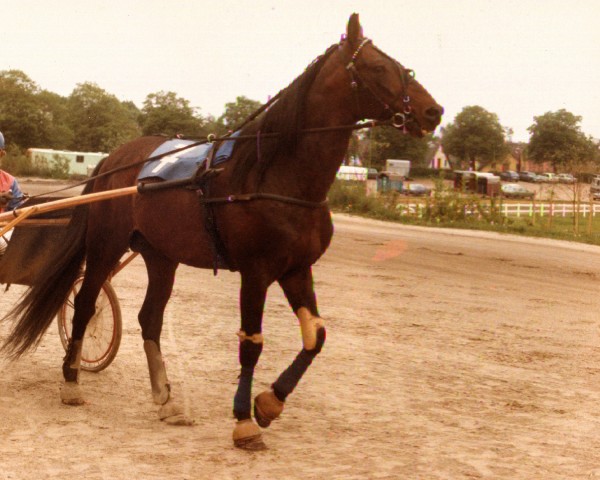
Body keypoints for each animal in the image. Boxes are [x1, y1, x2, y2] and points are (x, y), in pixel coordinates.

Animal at [0, 15, 440, 450]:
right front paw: (245, 421)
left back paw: (165, 399)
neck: (276, 176)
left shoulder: (296, 269)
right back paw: (72, 383)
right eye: (378, 67)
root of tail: (114, 158)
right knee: (85, 305)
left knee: (149, 318)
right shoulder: (256, 272)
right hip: (106, 245)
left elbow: (316, 336)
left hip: (161, 255)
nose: (433, 111)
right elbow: (251, 343)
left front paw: (269, 403)